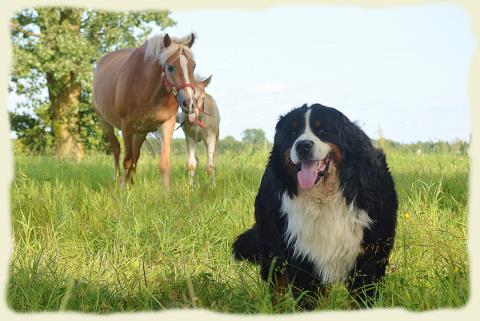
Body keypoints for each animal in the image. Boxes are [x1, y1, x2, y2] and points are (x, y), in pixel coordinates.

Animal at [93, 33, 200, 188]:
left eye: (193, 66)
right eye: (170, 67)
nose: (189, 103)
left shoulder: (167, 125)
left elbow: (163, 164)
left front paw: (166, 192)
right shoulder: (126, 126)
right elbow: (127, 161)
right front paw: (123, 189)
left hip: (141, 132)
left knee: (135, 154)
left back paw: (131, 182)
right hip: (105, 123)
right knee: (116, 148)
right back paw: (117, 179)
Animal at [232, 104, 398, 306]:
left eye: (322, 130)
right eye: (293, 132)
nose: (302, 145)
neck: (324, 197)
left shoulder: (369, 255)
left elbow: (364, 297)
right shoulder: (302, 256)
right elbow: (309, 299)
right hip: (272, 245)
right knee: (276, 285)